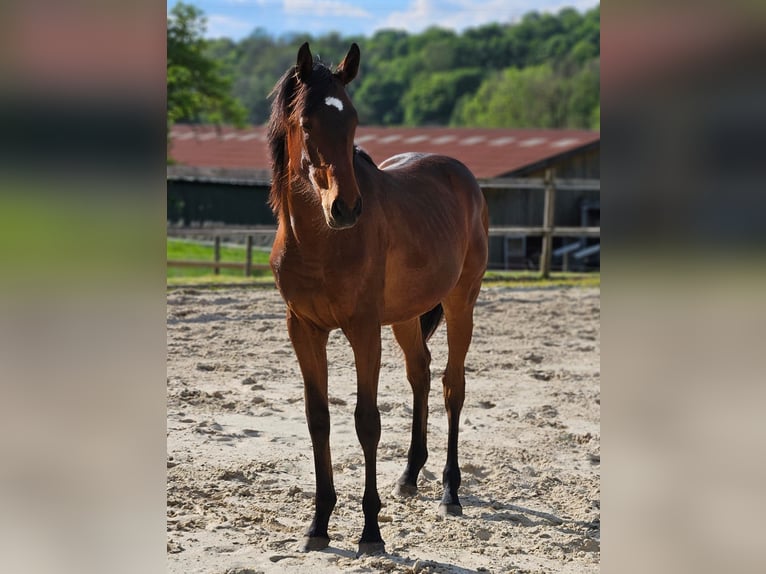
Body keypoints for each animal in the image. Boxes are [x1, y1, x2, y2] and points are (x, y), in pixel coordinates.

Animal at [268, 42, 488, 556]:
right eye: (307, 122)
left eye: (351, 120)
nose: (346, 208)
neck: (320, 241)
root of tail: (463, 177)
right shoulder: (303, 329)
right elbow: (318, 419)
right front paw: (318, 524)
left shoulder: (363, 329)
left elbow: (367, 421)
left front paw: (371, 532)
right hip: (406, 316)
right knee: (420, 375)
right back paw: (409, 475)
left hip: (461, 303)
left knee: (452, 386)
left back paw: (450, 491)